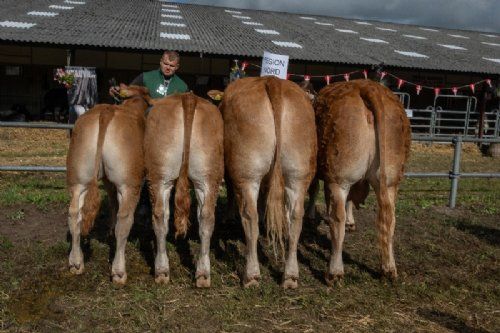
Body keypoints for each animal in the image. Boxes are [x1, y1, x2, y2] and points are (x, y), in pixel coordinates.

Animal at [67, 83, 151, 282]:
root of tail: (106, 112)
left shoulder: (107, 179)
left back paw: (76, 263)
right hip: (129, 183)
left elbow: (112, 201)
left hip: (78, 177)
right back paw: (119, 271)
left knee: (74, 214)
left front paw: (109, 231)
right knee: (125, 218)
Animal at [145, 92, 223, 286]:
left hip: (158, 175)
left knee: (159, 215)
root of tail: (187, 97)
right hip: (208, 174)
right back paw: (203, 274)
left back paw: (162, 271)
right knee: (206, 217)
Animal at [212, 76, 316, 288]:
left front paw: (228, 217)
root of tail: (271, 81)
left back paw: (251, 275)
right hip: (298, 173)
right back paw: (290, 276)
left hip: (246, 172)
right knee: (296, 216)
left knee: (249, 216)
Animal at [308, 78, 410, 282]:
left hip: (340, 179)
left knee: (337, 220)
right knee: (390, 219)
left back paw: (334, 271)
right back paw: (389, 268)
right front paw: (351, 221)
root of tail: (368, 87)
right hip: (390, 181)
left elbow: (316, 192)